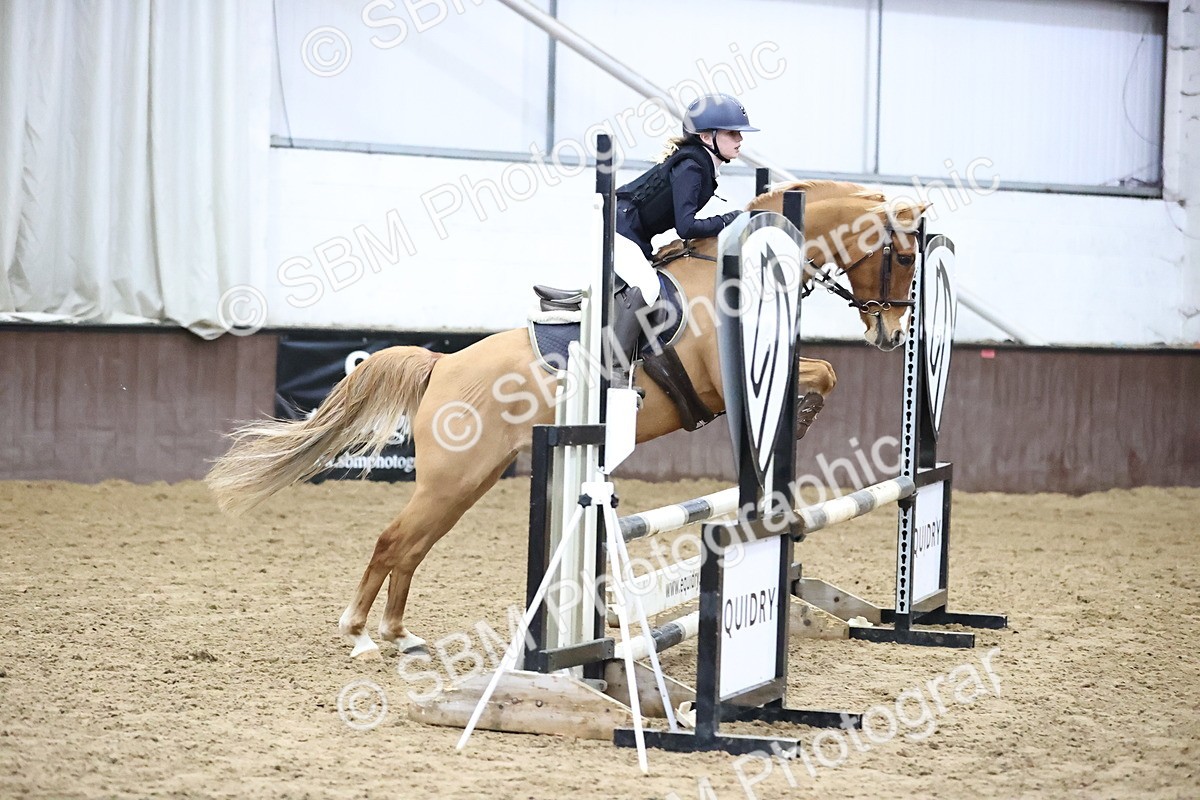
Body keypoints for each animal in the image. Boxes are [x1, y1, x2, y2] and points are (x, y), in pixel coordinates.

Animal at [205, 181, 928, 658]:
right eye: (904, 257)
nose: (892, 334)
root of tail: (442, 365)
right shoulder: (728, 384)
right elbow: (822, 374)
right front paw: (799, 419)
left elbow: (823, 373)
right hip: (455, 478)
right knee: (393, 541)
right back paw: (358, 634)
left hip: (473, 478)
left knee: (411, 546)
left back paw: (398, 635)